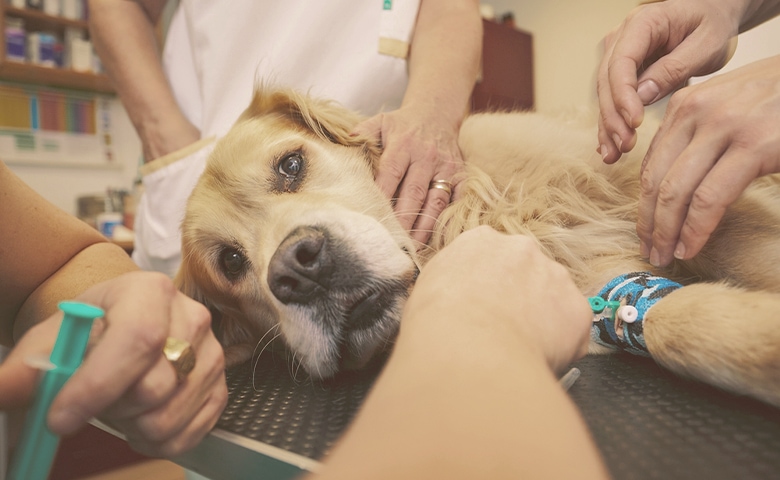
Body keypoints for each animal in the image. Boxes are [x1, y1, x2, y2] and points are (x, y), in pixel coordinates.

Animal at [177, 85, 780, 404]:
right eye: (231, 262)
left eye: (291, 166)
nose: (299, 269)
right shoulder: (598, 290)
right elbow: (676, 322)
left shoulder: (662, 190)